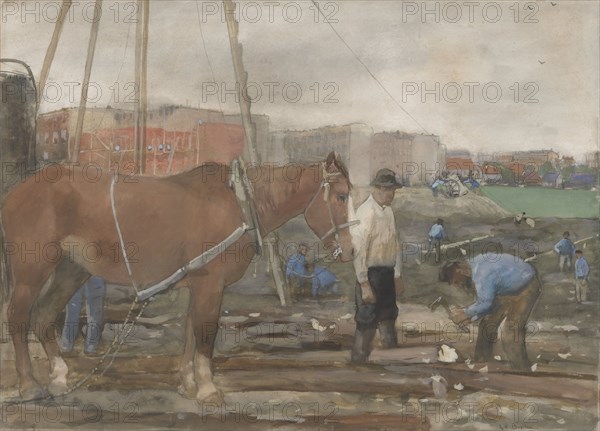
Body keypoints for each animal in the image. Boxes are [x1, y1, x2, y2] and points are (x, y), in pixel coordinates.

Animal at [0, 151, 354, 402]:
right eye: (341, 196)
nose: (350, 250)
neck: (240, 203)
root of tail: (17, 192)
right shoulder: (210, 283)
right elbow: (205, 332)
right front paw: (208, 389)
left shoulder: (197, 283)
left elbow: (190, 331)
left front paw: (188, 382)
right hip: (33, 269)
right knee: (18, 316)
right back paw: (29, 385)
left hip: (72, 269)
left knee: (44, 315)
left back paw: (59, 376)